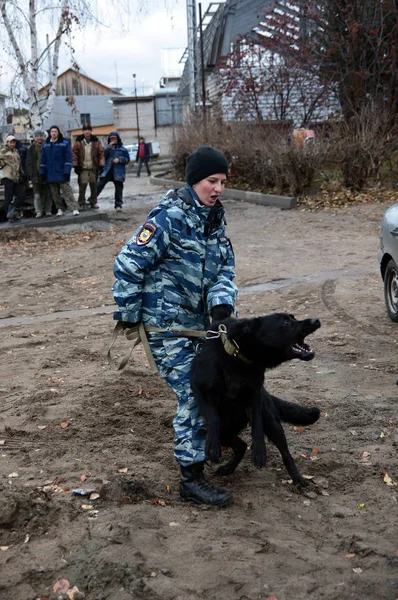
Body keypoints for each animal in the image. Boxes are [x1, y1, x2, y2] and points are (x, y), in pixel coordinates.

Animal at [191, 314, 322, 488]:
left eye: (293, 318)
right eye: (286, 322)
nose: (316, 320)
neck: (237, 354)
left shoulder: (255, 394)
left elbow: (257, 425)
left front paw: (260, 450)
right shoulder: (200, 388)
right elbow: (213, 419)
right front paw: (212, 445)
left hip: (272, 423)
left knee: (285, 453)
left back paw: (298, 479)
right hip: (225, 432)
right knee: (241, 446)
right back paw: (228, 468)